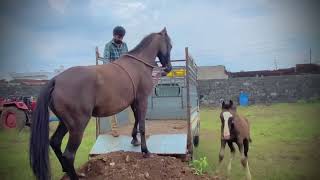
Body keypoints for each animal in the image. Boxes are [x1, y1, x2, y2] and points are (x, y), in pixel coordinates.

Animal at [29, 28, 172, 180]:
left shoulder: (135, 102)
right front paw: (145, 151)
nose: (168, 68)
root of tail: (56, 80)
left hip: (64, 123)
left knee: (55, 142)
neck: (138, 65)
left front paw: (134, 139)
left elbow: (137, 121)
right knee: (69, 155)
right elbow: (142, 125)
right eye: (170, 45)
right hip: (78, 126)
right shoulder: (142, 100)